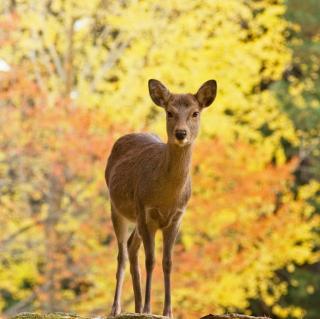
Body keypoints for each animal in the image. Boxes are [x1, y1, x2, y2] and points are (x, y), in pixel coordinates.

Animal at [105, 79, 218, 318]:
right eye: (169, 112)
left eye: (195, 113)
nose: (181, 133)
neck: (166, 197)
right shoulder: (145, 211)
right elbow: (151, 260)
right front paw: (149, 308)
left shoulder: (177, 218)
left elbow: (168, 262)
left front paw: (167, 311)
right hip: (117, 208)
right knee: (122, 254)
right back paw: (117, 308)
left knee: (131, 246)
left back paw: (137, 307)